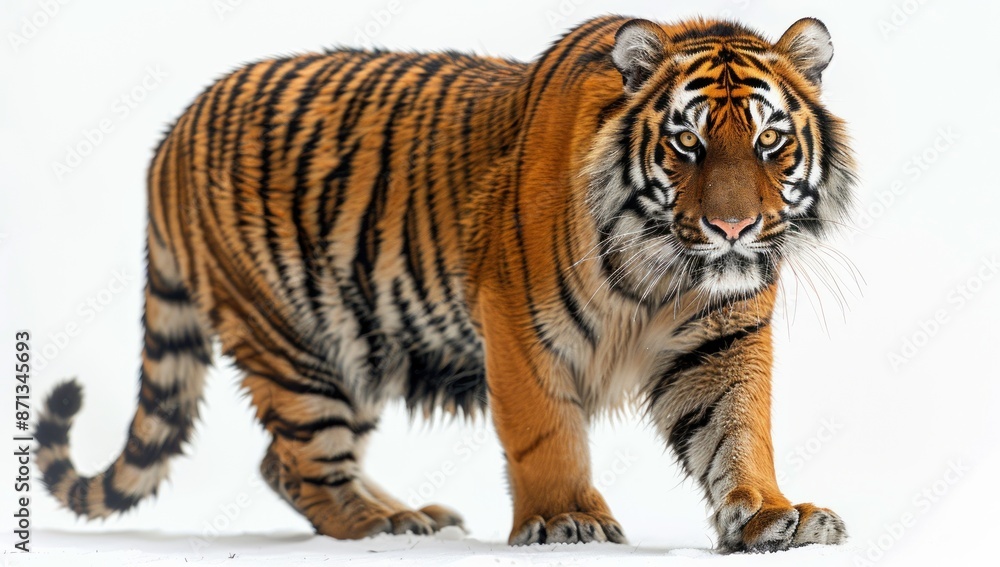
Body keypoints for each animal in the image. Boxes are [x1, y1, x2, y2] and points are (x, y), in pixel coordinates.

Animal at [35, 14, 856, 553]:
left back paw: (411, 516)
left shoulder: (722, 338)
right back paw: (384, 526)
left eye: (770, 141)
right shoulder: (518, 322)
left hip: (354, 344)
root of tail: (172, 129)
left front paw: (773, 516)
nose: (733, 228)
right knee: (301, 463)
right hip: (295, 342)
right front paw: (568, 521)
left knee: (282, 460)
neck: (665, 272)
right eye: (687, 142)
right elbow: (544, 431)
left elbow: (737, 431)